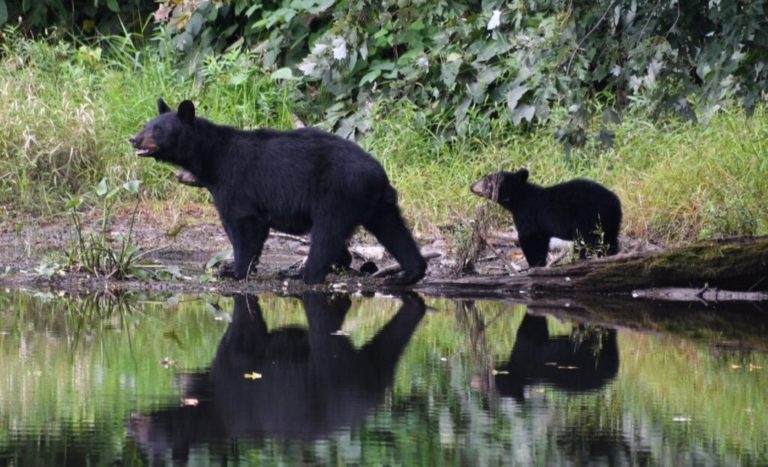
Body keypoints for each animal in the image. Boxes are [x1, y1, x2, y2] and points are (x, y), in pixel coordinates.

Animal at [127, 98, 426, 286]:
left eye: (158, 128)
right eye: (146, 124)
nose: (134, 139)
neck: (211, 157)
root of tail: (377, 174)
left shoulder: (235, 184)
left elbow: (243, 226)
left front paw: (235, 270)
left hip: (338, 193)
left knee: (327, 232)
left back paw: (305, 274)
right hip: (377, 203)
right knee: (394, 230)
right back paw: (408, 273)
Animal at [468, 170, 624, 268]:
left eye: (487, 180)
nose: (471, 186)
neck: (519, 198)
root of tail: (614, 202)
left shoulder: (528, 214)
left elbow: (530, 238)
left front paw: (534, 264)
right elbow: (541, 240)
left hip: (589, 217)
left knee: (589, 241)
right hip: (610, 221)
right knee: (609, 240)